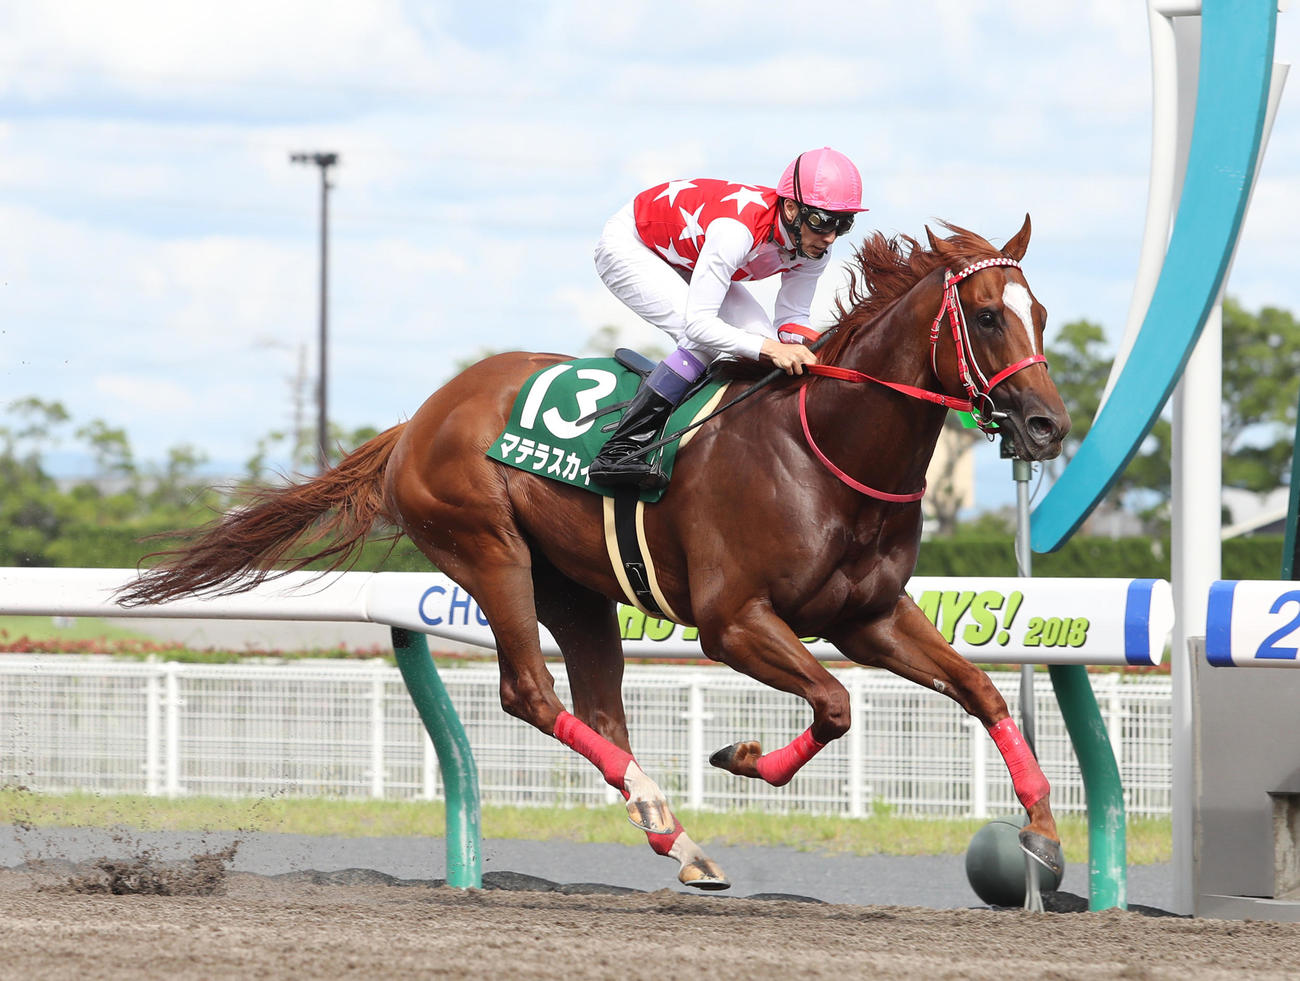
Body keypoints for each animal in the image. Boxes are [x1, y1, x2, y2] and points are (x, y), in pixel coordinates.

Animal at [118, 216, 1070, 891]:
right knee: (530, 693)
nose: (1046, 425)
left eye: (1043, 313)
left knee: (600, 709)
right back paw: (664, 814)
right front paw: (742, 757)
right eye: (988, 315)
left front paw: (1044, 834)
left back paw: (676, 837)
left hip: (575, 586)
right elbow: (835, 703)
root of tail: (419, 418)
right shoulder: (734, 621)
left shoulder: (867, 615)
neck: (824, 448)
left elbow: (981, 689)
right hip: (488, 549)